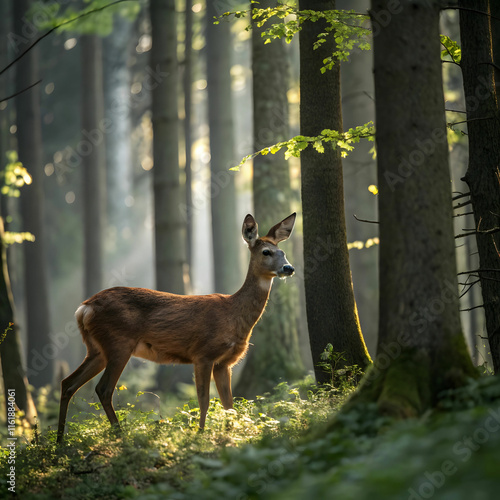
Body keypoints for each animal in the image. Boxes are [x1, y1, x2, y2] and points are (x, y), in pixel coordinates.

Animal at [56, 211, 294, 442]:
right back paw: (119, 436)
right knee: (103, 389)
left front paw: (229, 437)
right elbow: (204, 400)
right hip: (118, 343)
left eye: (282, 252)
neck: (234, 314)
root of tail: (84, 308)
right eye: (266, 252)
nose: (289, 267)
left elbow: (229, 405)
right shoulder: (203, 354)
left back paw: (59, 443)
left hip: (97, 348)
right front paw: (200, 435)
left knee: (68, 383)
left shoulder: (224, 363)